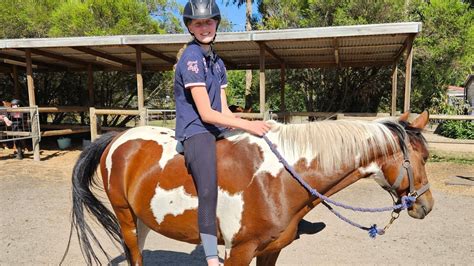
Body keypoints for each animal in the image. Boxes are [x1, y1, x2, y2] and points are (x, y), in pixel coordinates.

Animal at [68, 111, 436, 264]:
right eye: (424, 157)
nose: (426, 205)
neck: (279, 180)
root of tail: (118, 139)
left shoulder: (270, 250)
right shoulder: (240, 252)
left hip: (143, 219)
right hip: (125, 217)